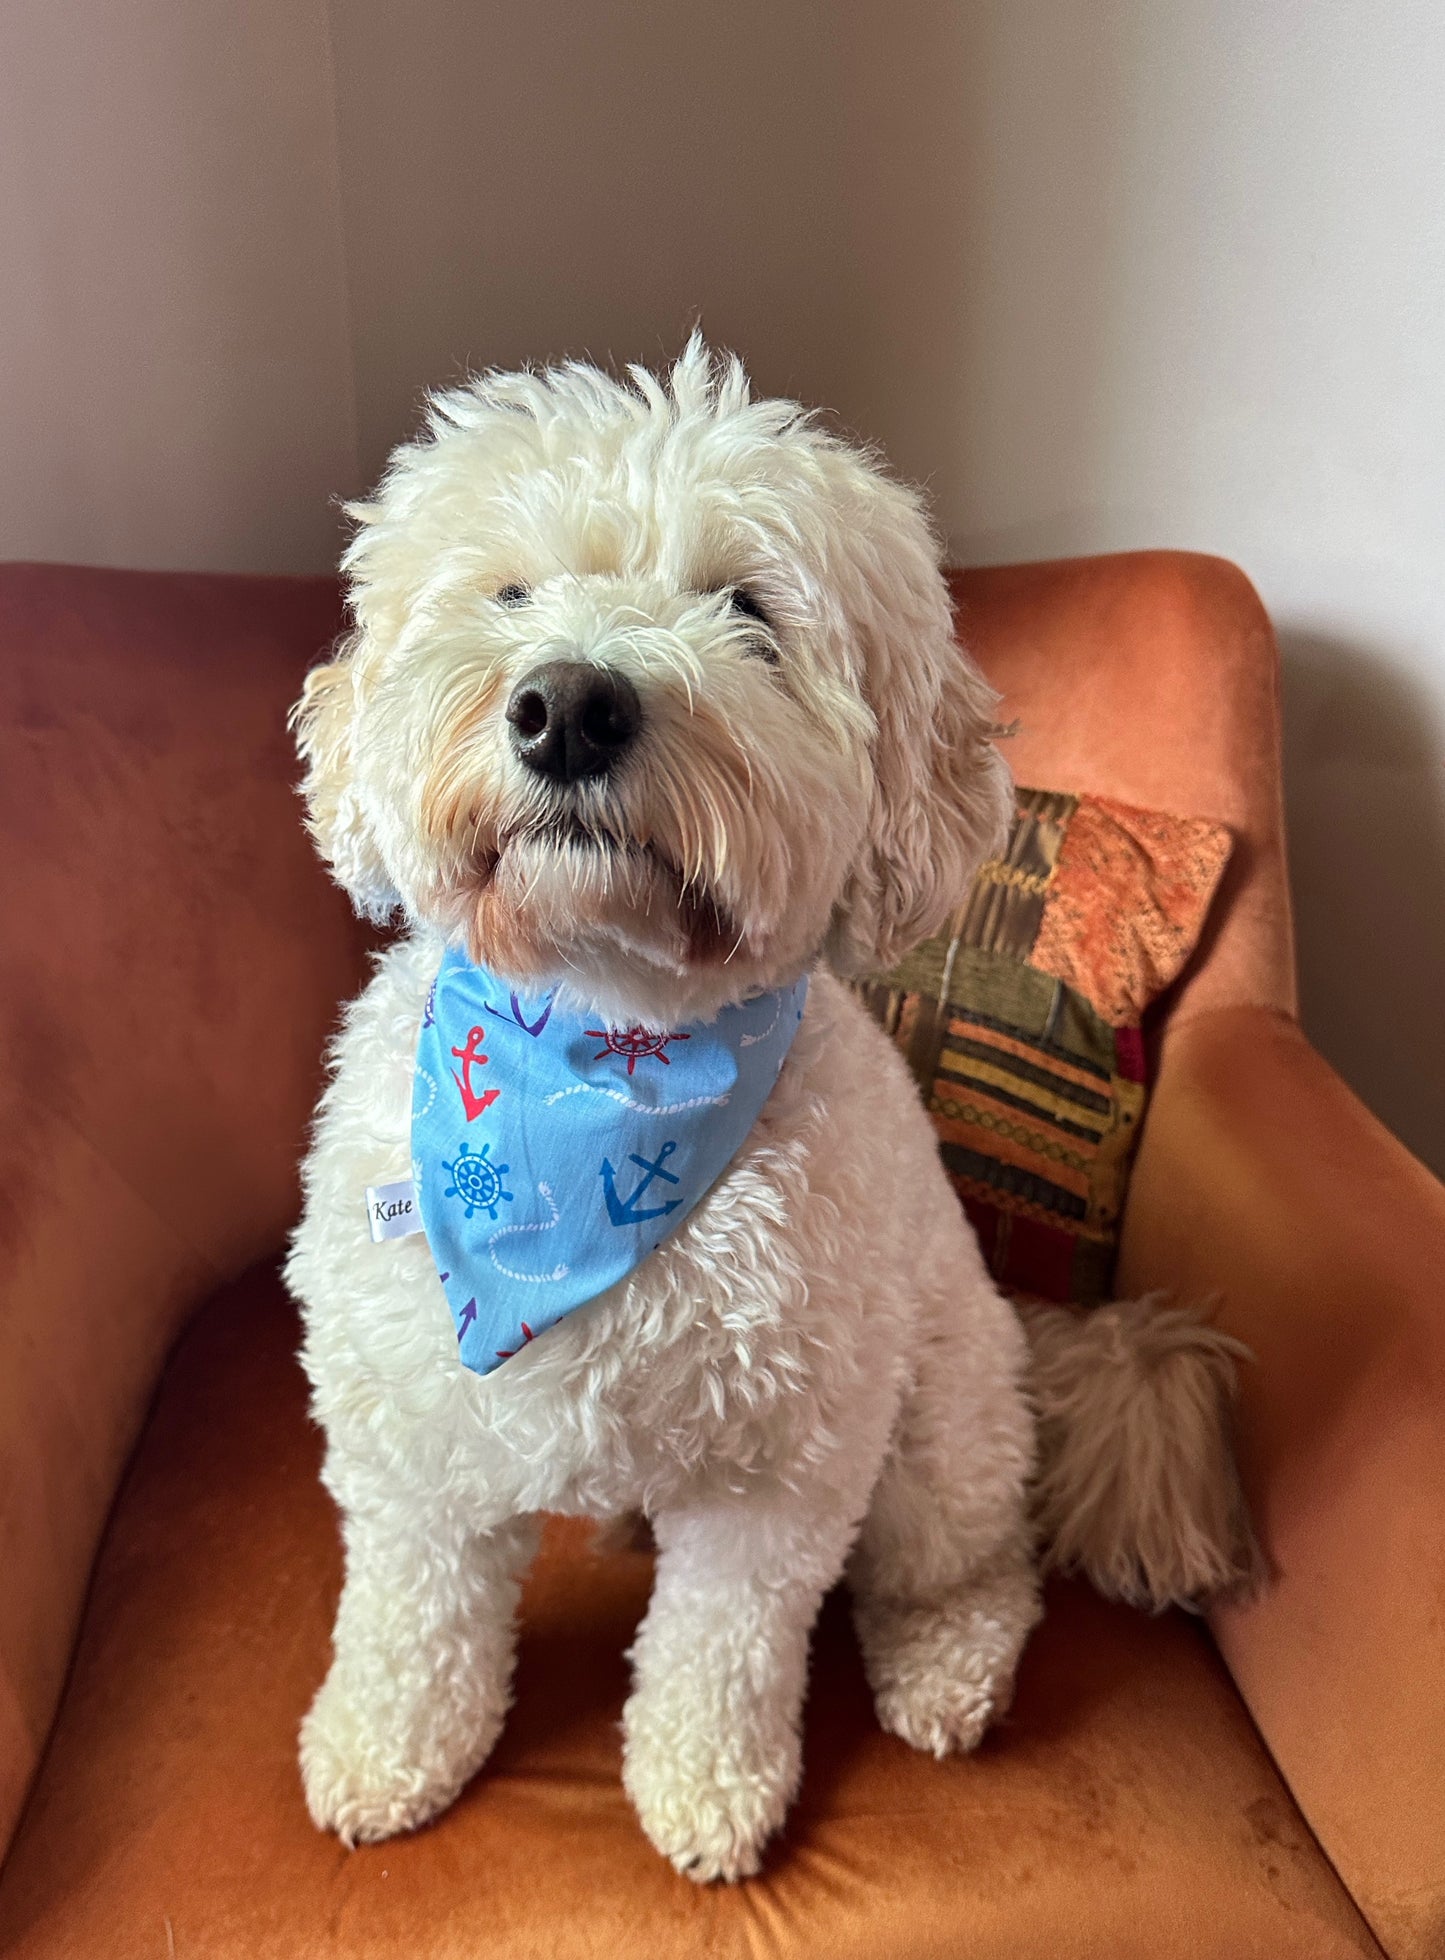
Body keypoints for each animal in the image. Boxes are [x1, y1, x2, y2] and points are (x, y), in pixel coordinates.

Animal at [288, 341, 1035, 1881]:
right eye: (509, 592)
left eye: (746, 610)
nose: (569, 705)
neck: (595, 1049)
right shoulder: (411, 1434)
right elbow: (410, 1615)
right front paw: (389, 1751)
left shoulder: (778, 1476)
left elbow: (722, 1651)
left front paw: (708, 1792)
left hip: (939, 1425)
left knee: (972, 1562)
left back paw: (946, 1667)